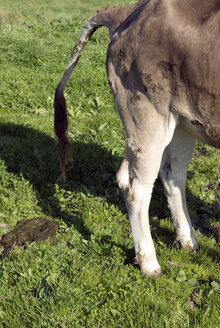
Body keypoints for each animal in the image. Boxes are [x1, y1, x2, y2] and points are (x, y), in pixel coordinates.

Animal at [54, 0, 219, 276]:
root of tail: (131, 10)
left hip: (183, 122)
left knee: (171, 175)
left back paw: (188, 241)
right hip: (147, 115)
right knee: (136, 187)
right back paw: (149, 262)